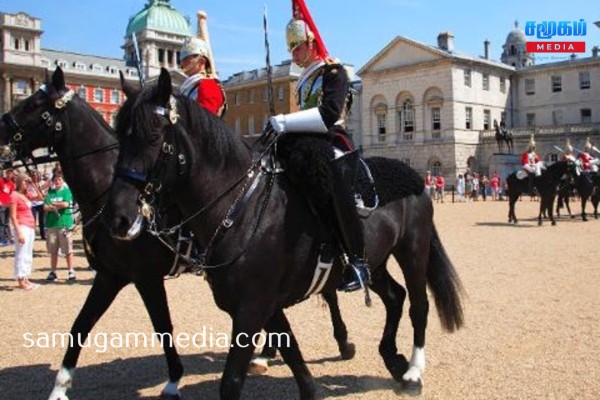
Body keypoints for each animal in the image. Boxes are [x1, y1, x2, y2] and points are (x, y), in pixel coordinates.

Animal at [0, 67, 356, 398]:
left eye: (34, 104)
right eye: (122, 135)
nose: (2, 131)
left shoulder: (145, 276)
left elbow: (162, 325)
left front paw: (174, 379)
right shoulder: (111, 275)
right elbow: (80, 325)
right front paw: (60, 387)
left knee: (328, 291)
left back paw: (341, 341)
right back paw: (270, 352)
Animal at [105, 70, 466, 398]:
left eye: (154, 137)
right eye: (120, 136)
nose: (118, 217)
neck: (241, 207)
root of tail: (414, 175)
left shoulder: (251, 308)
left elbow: (232, 381)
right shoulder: (263, 303)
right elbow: (292, 352)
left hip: (413, 250)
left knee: (419, 304)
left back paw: (413, 373)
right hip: (375, 261)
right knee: (394, 297)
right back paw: (393, 359)